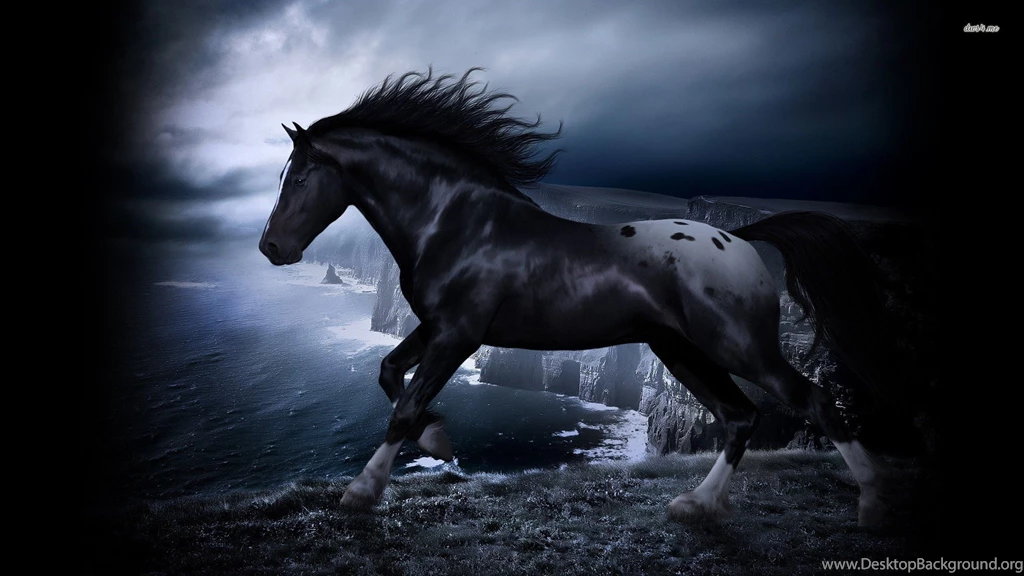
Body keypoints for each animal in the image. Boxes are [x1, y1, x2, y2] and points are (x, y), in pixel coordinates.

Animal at [259, 67, 893, 527]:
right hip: (681, 351)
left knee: (813, 401)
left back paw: (872, 506)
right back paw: (697, 506)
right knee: (740, 417)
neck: (457, 221)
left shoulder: (459, 333)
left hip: (739, 347)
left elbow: (406, 405)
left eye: (299, 177)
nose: (270, 248)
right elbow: (390, 372)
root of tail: (738, 237)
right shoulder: (437, 326)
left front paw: (362, 491)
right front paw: (439, 440)